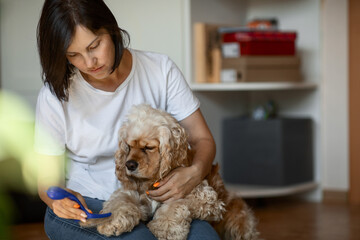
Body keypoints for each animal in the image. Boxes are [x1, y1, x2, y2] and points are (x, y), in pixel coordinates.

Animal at [81, 104, 258, 240]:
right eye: (129, 146)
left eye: (148, 147)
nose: (129, 165)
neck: (151, 181)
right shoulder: (132, 193)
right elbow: (120, 202)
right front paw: (109, 222)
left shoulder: (206, 199)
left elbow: (174, 205)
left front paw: (164, 231)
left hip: (238, 223)